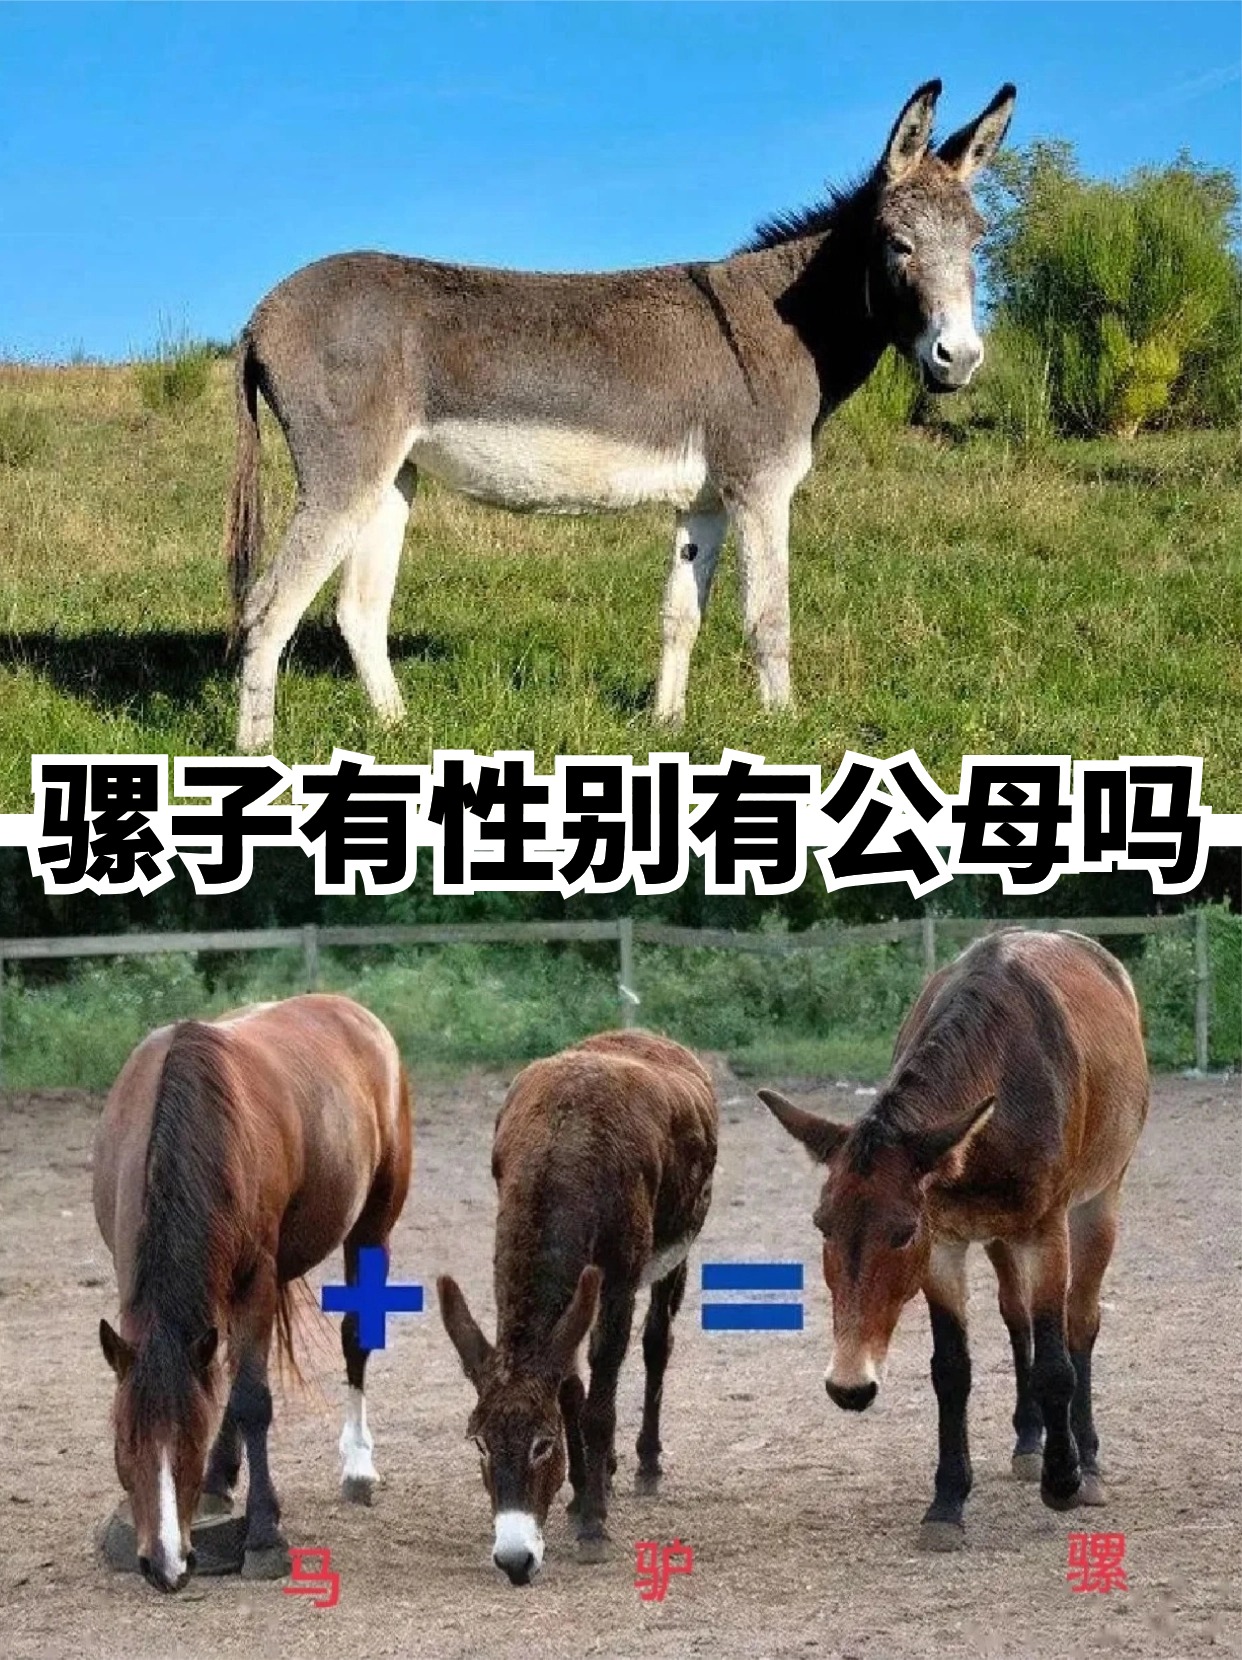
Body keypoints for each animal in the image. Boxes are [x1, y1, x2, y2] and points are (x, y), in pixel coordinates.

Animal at [93, 994, 412, 1591]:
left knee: (355, 1336)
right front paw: (219, 1481)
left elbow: (250, 1400)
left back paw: (358, 1465)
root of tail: (353, 1012)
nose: (165, 1565)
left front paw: (264, 1534)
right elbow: (229, 1382)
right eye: (124, 1441)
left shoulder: (253, 1280)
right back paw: (222, 1478)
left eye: (189, 1442)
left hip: (371, 1226)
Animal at [227, 78, 1015, 752]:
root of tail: (259, 314)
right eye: (896, 243)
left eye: (977, 241)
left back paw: (400, 732)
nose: (959, 359)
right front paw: (787, 733)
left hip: (393, 476)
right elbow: (769, 617)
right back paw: (258, 754)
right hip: (344, 476)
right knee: (267, 607)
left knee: (358, 610)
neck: (788, 324)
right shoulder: (760, 489)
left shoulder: (706, 502)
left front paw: (667, 726)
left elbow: (681, 615)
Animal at [437, 1029, 717, 1584]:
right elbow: (570, 1388)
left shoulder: (619, 1279)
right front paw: (582, 1491)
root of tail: (647, 1036)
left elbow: (600, 1401)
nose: (515, 1560)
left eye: (543, 1445)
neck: (561, 1147)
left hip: (677, 1249)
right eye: (479, 1443)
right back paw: (604, 1473)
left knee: (657, 1343)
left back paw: (645, 1464)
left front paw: (593, 1525)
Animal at [759, 929, 1148, 1551]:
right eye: (822, 1226)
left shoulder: (1045, 1231)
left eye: (901, 1233)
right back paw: (1028, 1440)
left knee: (1080, 1322)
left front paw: (1062, 1480)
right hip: (999, 1234)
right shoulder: (944, 1244)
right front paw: (946, 1502)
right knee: (1016, 1317)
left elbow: (1056, 1362)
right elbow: (951, 1370)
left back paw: (1085, 1461)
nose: (849, 1386)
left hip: (1098, 1202)